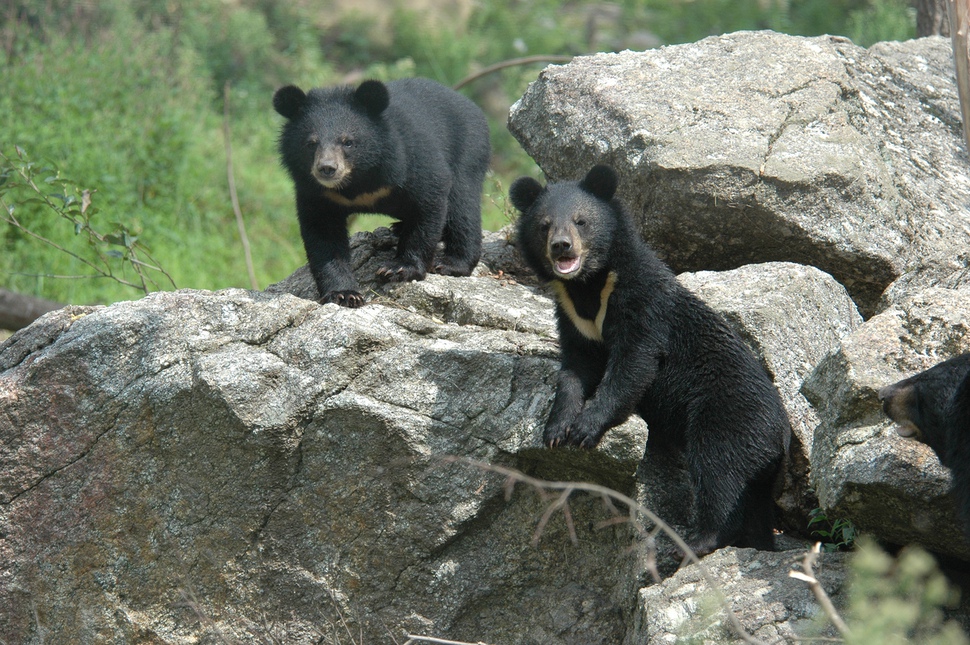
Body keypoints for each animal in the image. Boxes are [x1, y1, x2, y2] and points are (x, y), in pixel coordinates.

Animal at [272, 78, 488, 306]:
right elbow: (323, 236)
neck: (358, 181)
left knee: (462, 206)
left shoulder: (412, 160)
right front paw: (344, 293)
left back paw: (450, 263)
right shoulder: (317, 193)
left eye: (348, 142)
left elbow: (428, 204)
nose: (327, 168)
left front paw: (399, 268)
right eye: (311, 143)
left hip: (469, 149)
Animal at [510, 166, 792, 552]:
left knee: (718, 473)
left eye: (581, 221)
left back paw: (696, 542)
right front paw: (556, 430)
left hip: (728, 419)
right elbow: (575, 369)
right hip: (760, 469)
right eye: (544, 225)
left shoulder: (643, 303)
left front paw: (585, 429)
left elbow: (633, 364)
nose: (562, 246)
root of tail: (782, 438)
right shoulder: (574, 320)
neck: (589, 287)